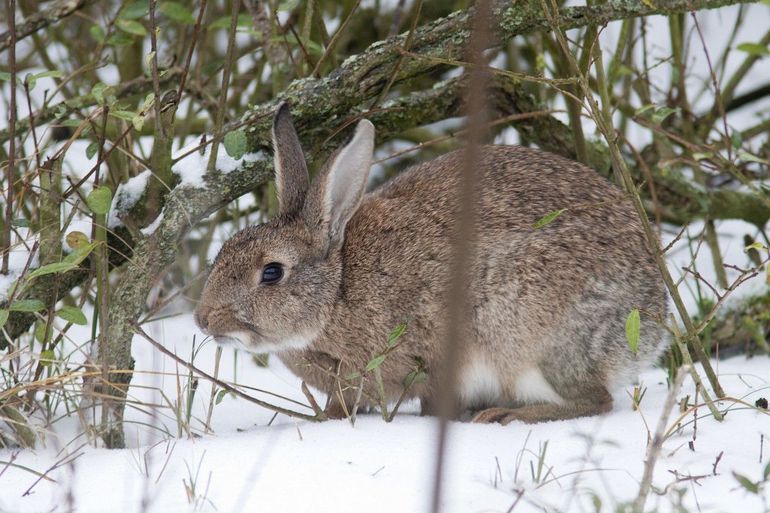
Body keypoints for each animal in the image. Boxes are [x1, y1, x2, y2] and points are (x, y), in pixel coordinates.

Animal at [196, 104, 664, 424]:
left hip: (529, 335)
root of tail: (651, 315)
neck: (338, 290)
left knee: (595, 400)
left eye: (272, 272)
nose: (204, 319)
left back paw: (505, 416)